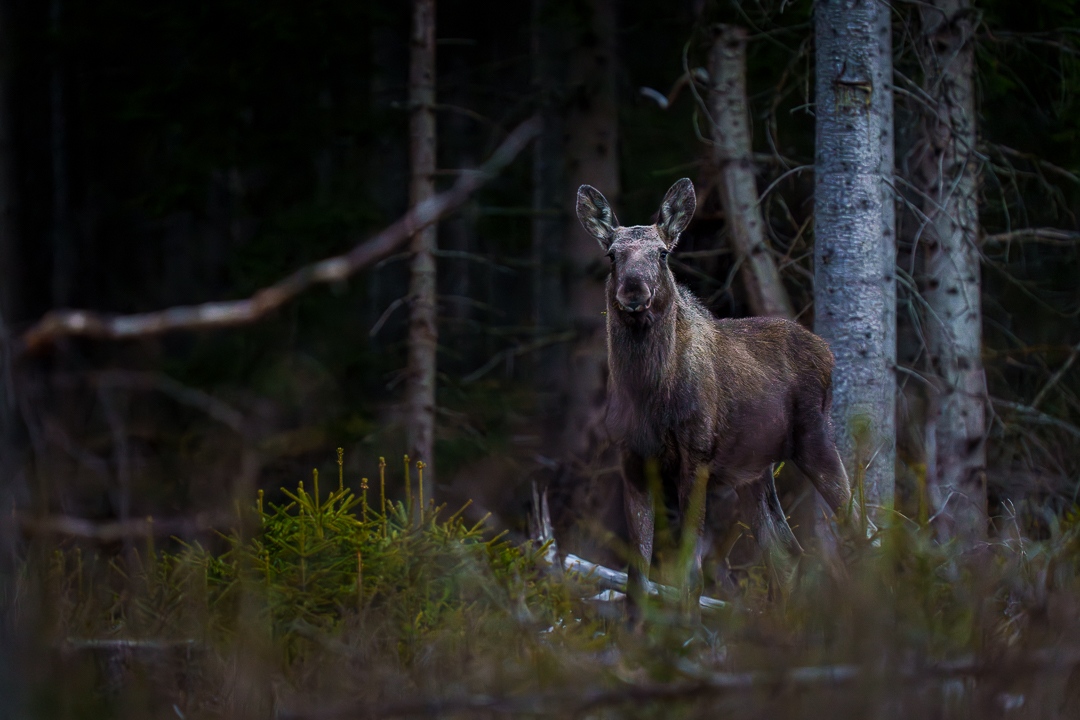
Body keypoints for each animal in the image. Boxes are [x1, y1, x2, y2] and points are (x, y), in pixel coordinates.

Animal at [575, 178, 856, 616]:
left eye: (663, 253)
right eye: (611, 254)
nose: (634, 290)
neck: (648, 394)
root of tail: (827, 351)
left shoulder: (698, 455)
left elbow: (688, 571)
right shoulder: (630, 458)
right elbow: (637, 573)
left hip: (815, 438)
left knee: (858, 522)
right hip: (754, 472)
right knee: (787, 552)